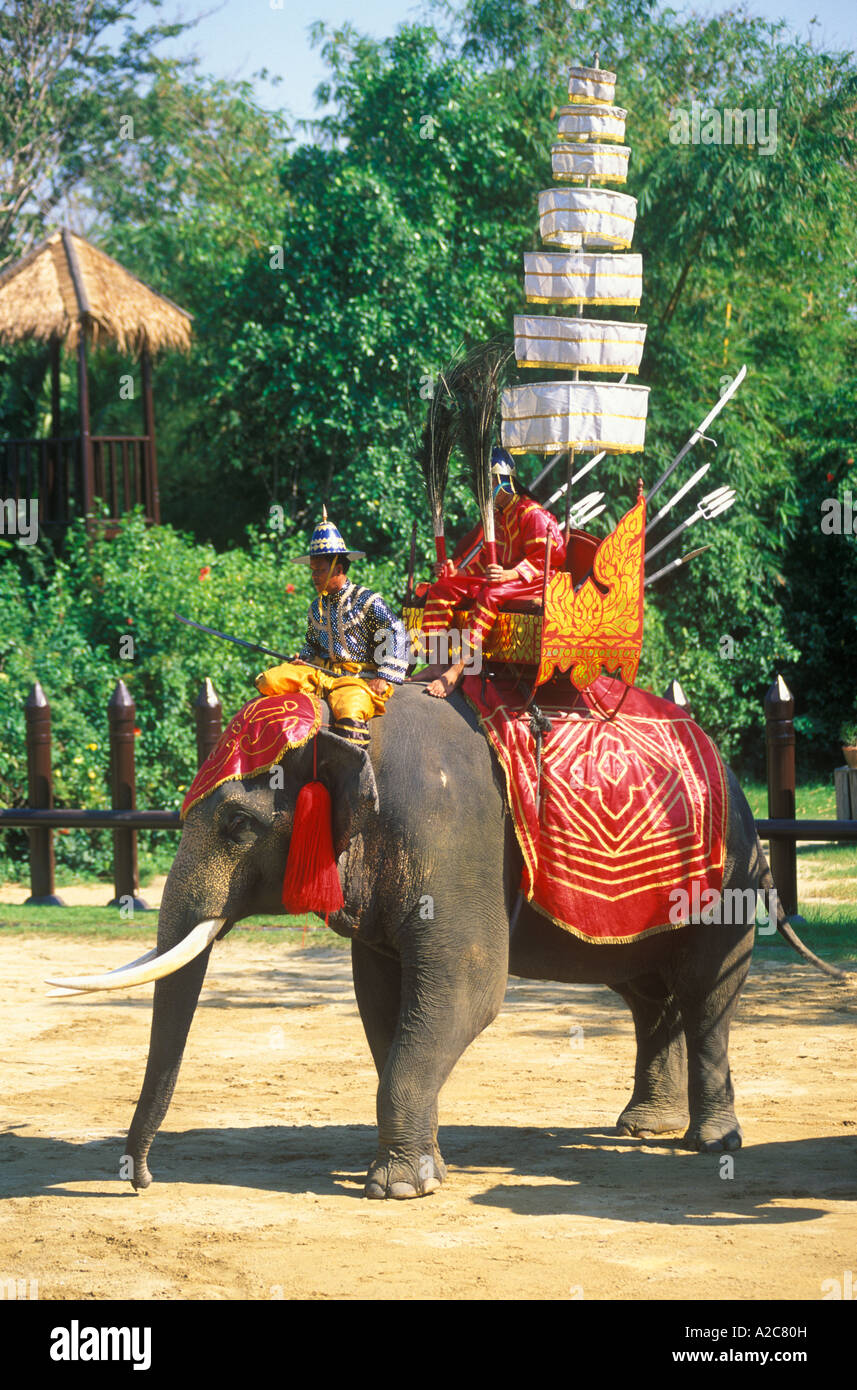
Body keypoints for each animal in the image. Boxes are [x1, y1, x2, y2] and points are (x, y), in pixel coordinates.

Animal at [48, 681, 833, 1195]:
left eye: (239, 824)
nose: (143, 1181)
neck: (351, 725)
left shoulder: (453, 837)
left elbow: (466, 987)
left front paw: (396, 1189)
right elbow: (382, 1000)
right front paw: (427, 1169)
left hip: (723, 877)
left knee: (704, 995)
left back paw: (709, 1144)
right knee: (646, 995)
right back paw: (642, 1128)